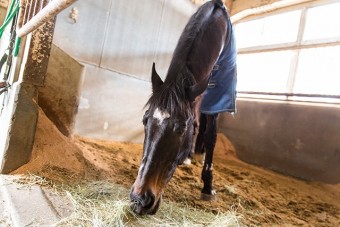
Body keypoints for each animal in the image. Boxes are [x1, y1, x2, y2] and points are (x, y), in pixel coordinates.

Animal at [130, 0, 236, 215]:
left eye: (180, 129)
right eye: (145, 120)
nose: (139, 200)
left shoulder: (219, 96)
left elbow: (211, 136)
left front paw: (208, 187)